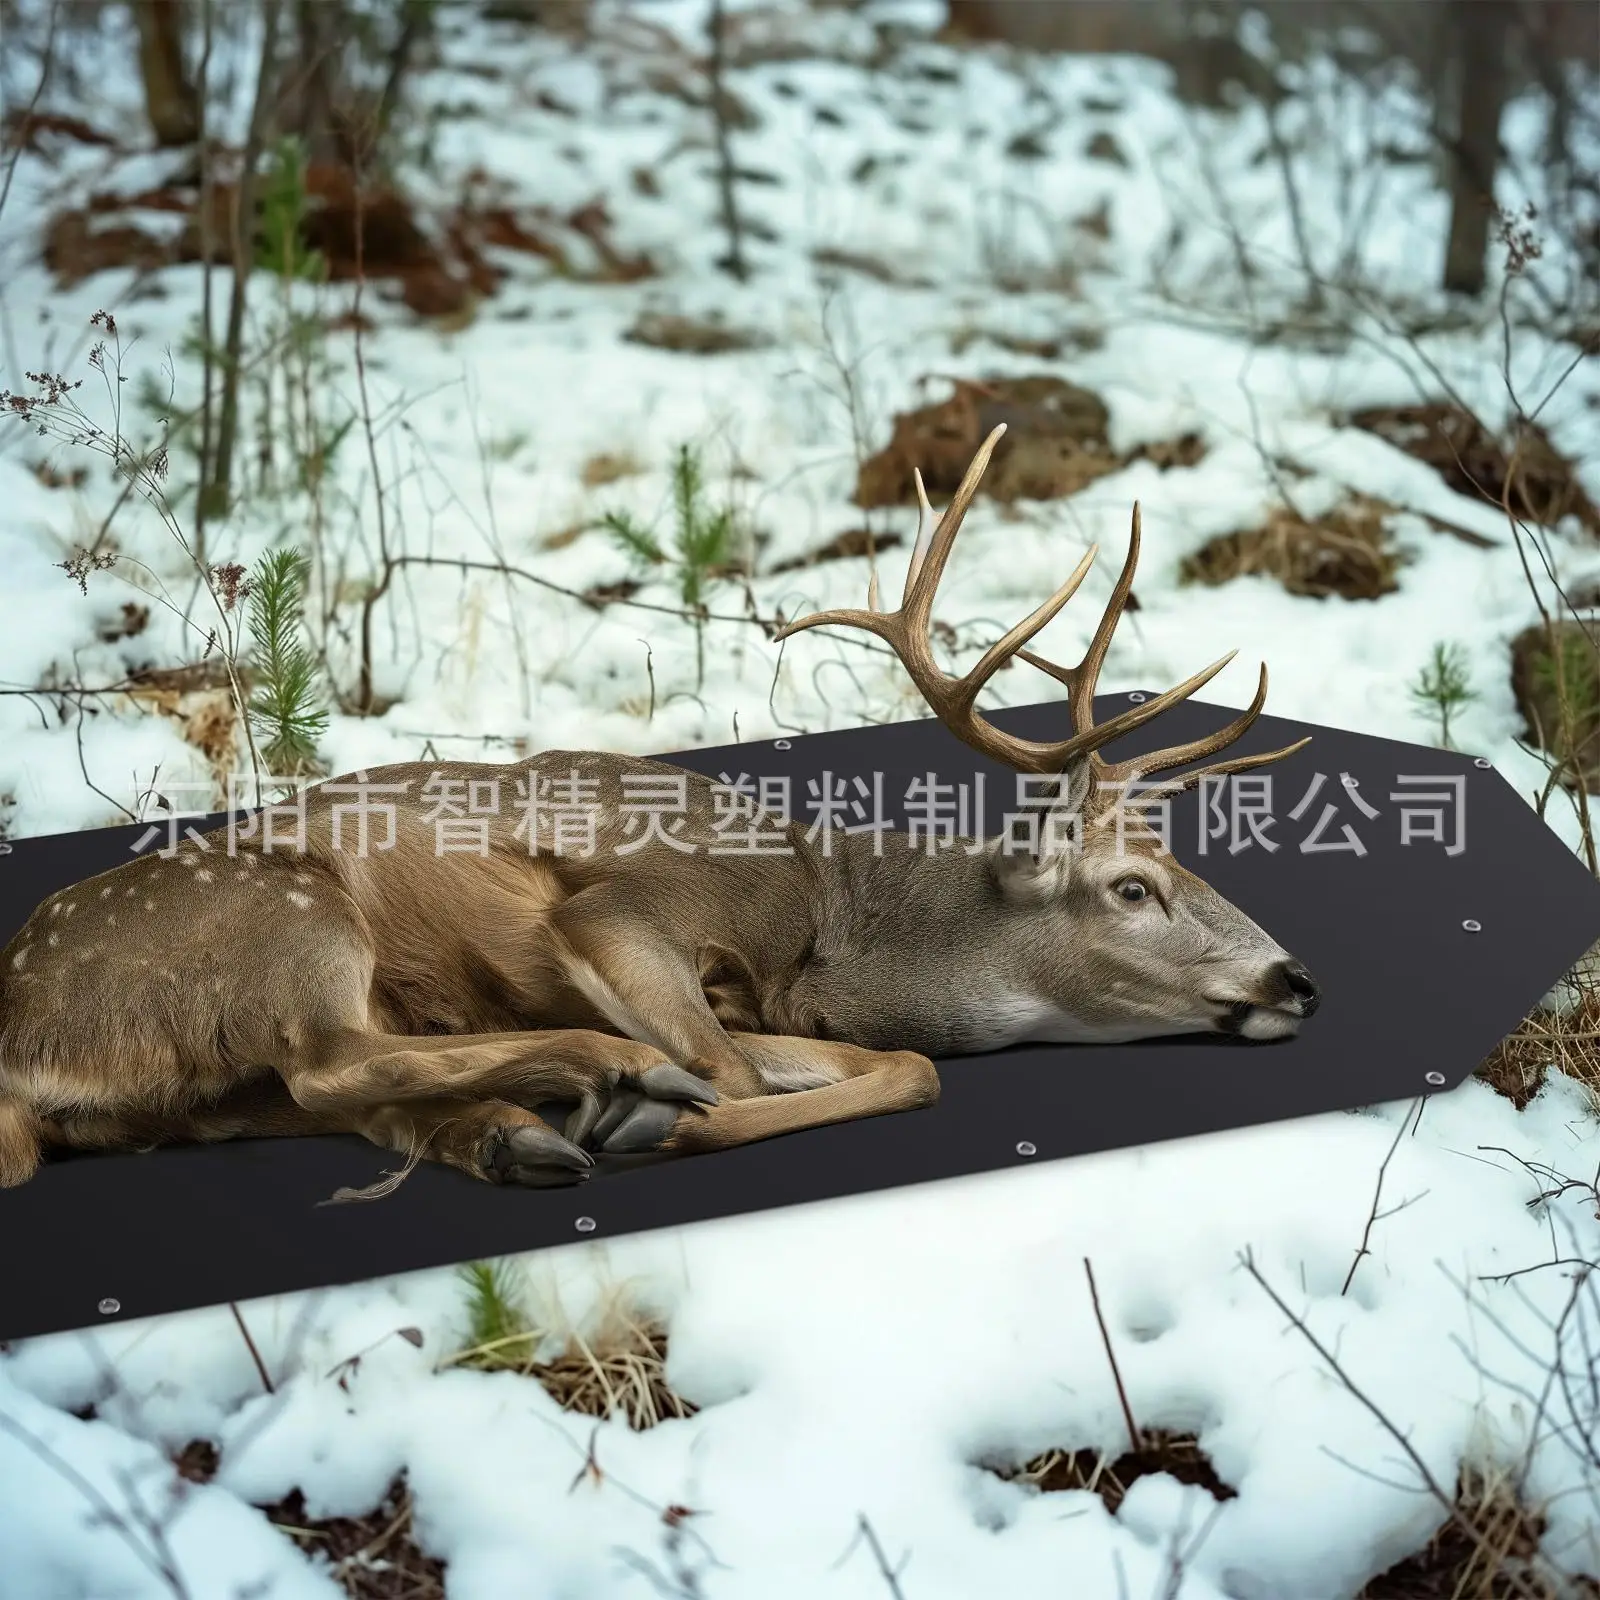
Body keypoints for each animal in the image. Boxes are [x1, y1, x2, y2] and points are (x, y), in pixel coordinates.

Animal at [0, 425, 1319, 1195]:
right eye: (1133, 886)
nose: (1295, 978)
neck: (826, 919)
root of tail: (23, 1037)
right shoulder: (625, 911)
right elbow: (739, 1074)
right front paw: (651, 1118)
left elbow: (899, 1065)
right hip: (286, 907)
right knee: (334, 1059)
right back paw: (599, 1083)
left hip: (215, 1098)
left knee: (337, 1093)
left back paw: (517, 1129)